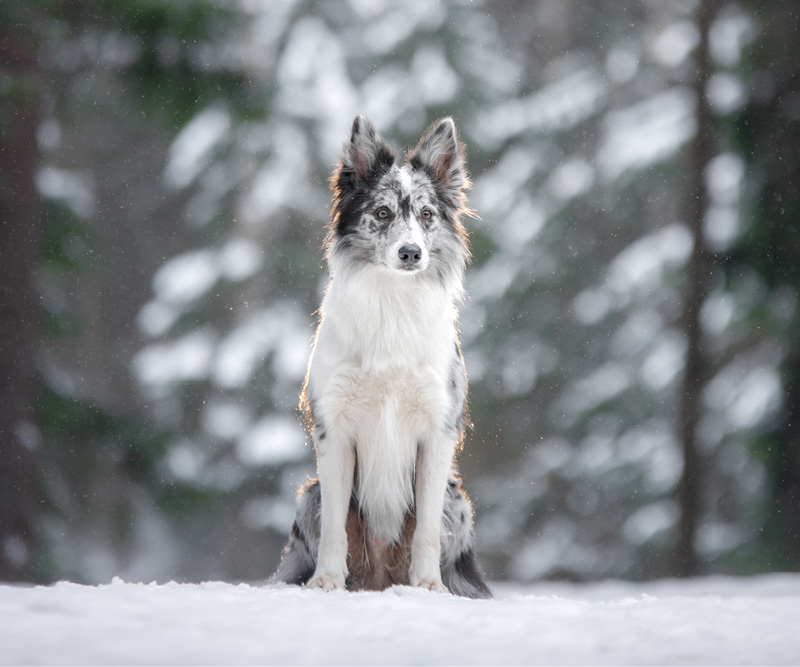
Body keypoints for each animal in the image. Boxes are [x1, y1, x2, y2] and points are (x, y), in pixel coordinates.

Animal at [272, 115, 490, 600]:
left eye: (427, 215)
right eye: (383, 212)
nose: (411, 253)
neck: (393, 303)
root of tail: (379, 581)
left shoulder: (437, 430)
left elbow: (426, 529)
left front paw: (428, 585)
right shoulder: (335, 430)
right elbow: (335, 528)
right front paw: (326, 581)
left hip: (458, 501)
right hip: (309, 495)